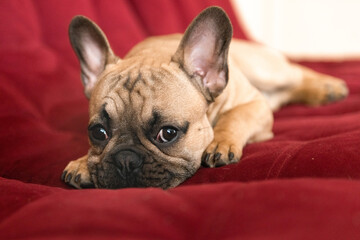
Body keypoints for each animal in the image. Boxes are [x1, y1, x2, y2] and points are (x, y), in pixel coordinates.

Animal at [61, 6, 346, 188]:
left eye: (168, 133)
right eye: (98, 132)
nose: (125, 160)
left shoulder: (255, 105)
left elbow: (235, 116)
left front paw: (220, 141)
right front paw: (83, 163)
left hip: (266, 70)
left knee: (296, 72)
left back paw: (327, 87)